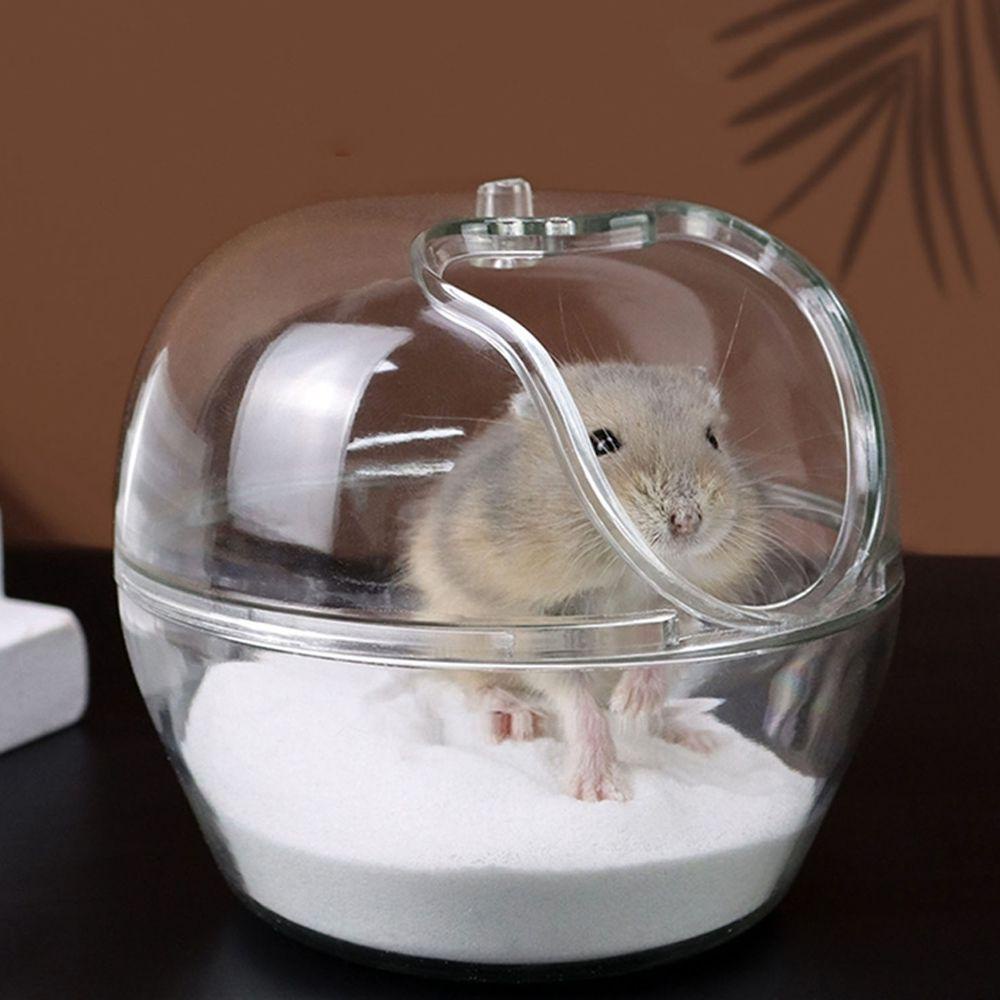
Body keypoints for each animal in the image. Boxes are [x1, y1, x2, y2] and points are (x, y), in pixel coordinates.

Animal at [405, 362, 765, 802]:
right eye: (602, 442)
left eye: (713, 439)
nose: (687, 520)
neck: (623, 573)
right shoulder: (539, 629)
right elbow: (578, 701)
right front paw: (599, 791)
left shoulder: (691, 611)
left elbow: (665, 649)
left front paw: (632, 704)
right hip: (457, 634)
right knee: (477, 685)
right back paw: (516, 719)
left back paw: (690, 735)